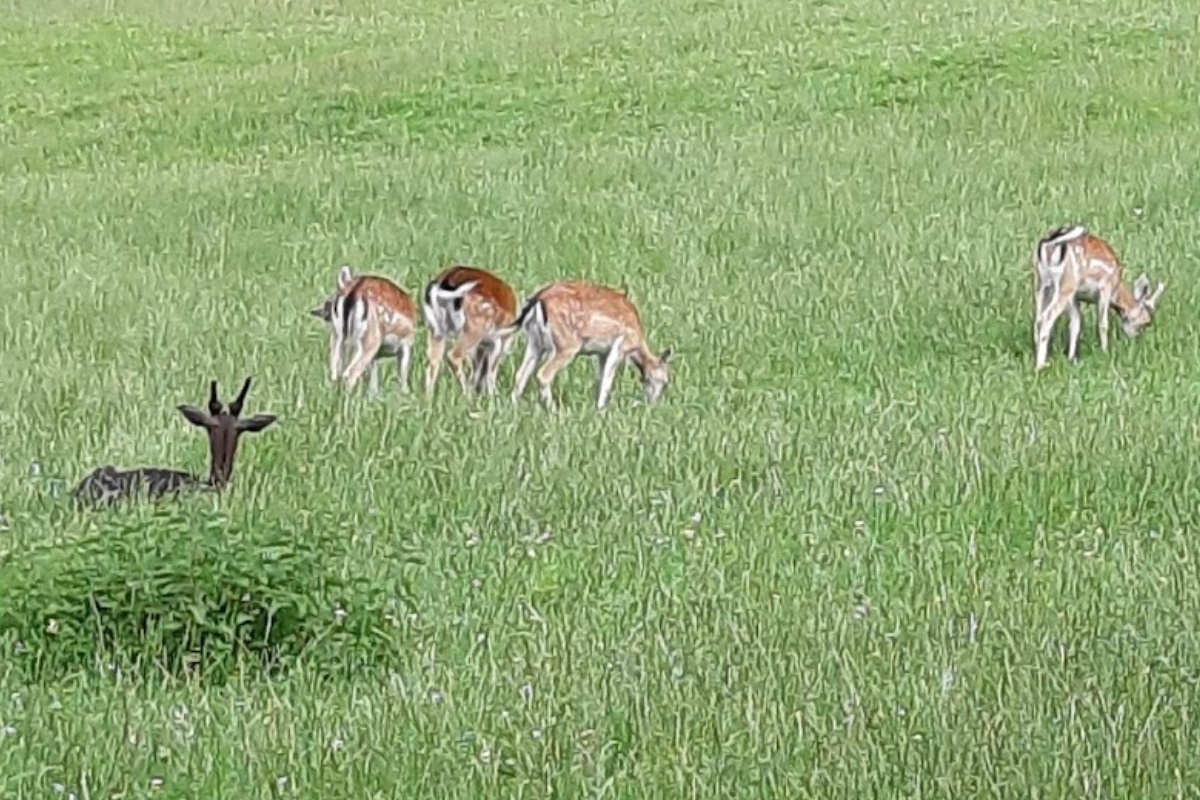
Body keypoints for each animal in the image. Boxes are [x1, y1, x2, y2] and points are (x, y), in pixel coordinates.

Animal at [309, 267, 417, 395]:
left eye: (328, 302)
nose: (317, 311)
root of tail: (355, 290)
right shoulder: (406, 343)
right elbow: (402, 375)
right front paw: (405, 395)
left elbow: (373, 384)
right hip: (371, 338)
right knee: (349, 373)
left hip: (337, 336)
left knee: (335, 371)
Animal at [420, 263, 518, 398]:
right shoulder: (498, 341)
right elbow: (491, 371)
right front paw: (494, 396)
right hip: (475, 324)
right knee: (453, 355)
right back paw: (467, 395)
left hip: (435, 327)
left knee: (433, 363)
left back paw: (428, 399)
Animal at [501, 278, 676, 410]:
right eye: (665, 382)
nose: (653, 405)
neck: (637, 344)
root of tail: (537, 299)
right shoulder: (620, 346)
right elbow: (607, 380)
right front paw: (601, 409)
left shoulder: (602, 353)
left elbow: (600, 377)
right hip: (567, 345)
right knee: (543, 375)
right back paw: (554, 410)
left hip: (535, 342)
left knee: (521, 374)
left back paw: (514, 405)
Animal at [1036, 224, 1166, 371]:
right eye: (1146, 321)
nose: (1136, 340)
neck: (1116, 288)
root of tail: (1051, 243)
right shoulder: (1105, 288)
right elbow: (1103, 323)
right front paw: (1105, 352)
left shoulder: (1075, 296)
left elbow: (1076, 323)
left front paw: (1071, 359)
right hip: (1066, 284)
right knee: (1046, 317)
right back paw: (1040, 365)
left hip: (1041, 281)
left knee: (1038, 317)